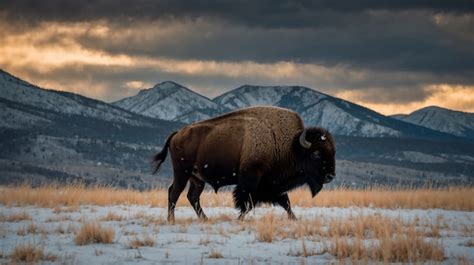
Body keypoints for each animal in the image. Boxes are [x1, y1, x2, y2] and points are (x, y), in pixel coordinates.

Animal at [154, 105, 336, 221]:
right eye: (316, 154)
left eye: (333, 152)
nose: (331, 176)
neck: (291, 145)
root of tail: (178, 133)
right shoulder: (251, 178)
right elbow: (246, 202)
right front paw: (239, 218)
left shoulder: (273, 184)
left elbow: (285, 202)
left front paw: (294, 219)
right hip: (182, 173)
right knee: (174, 193)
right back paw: (172, 220)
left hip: (197, 178)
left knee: (192, 197)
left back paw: (204, 219)